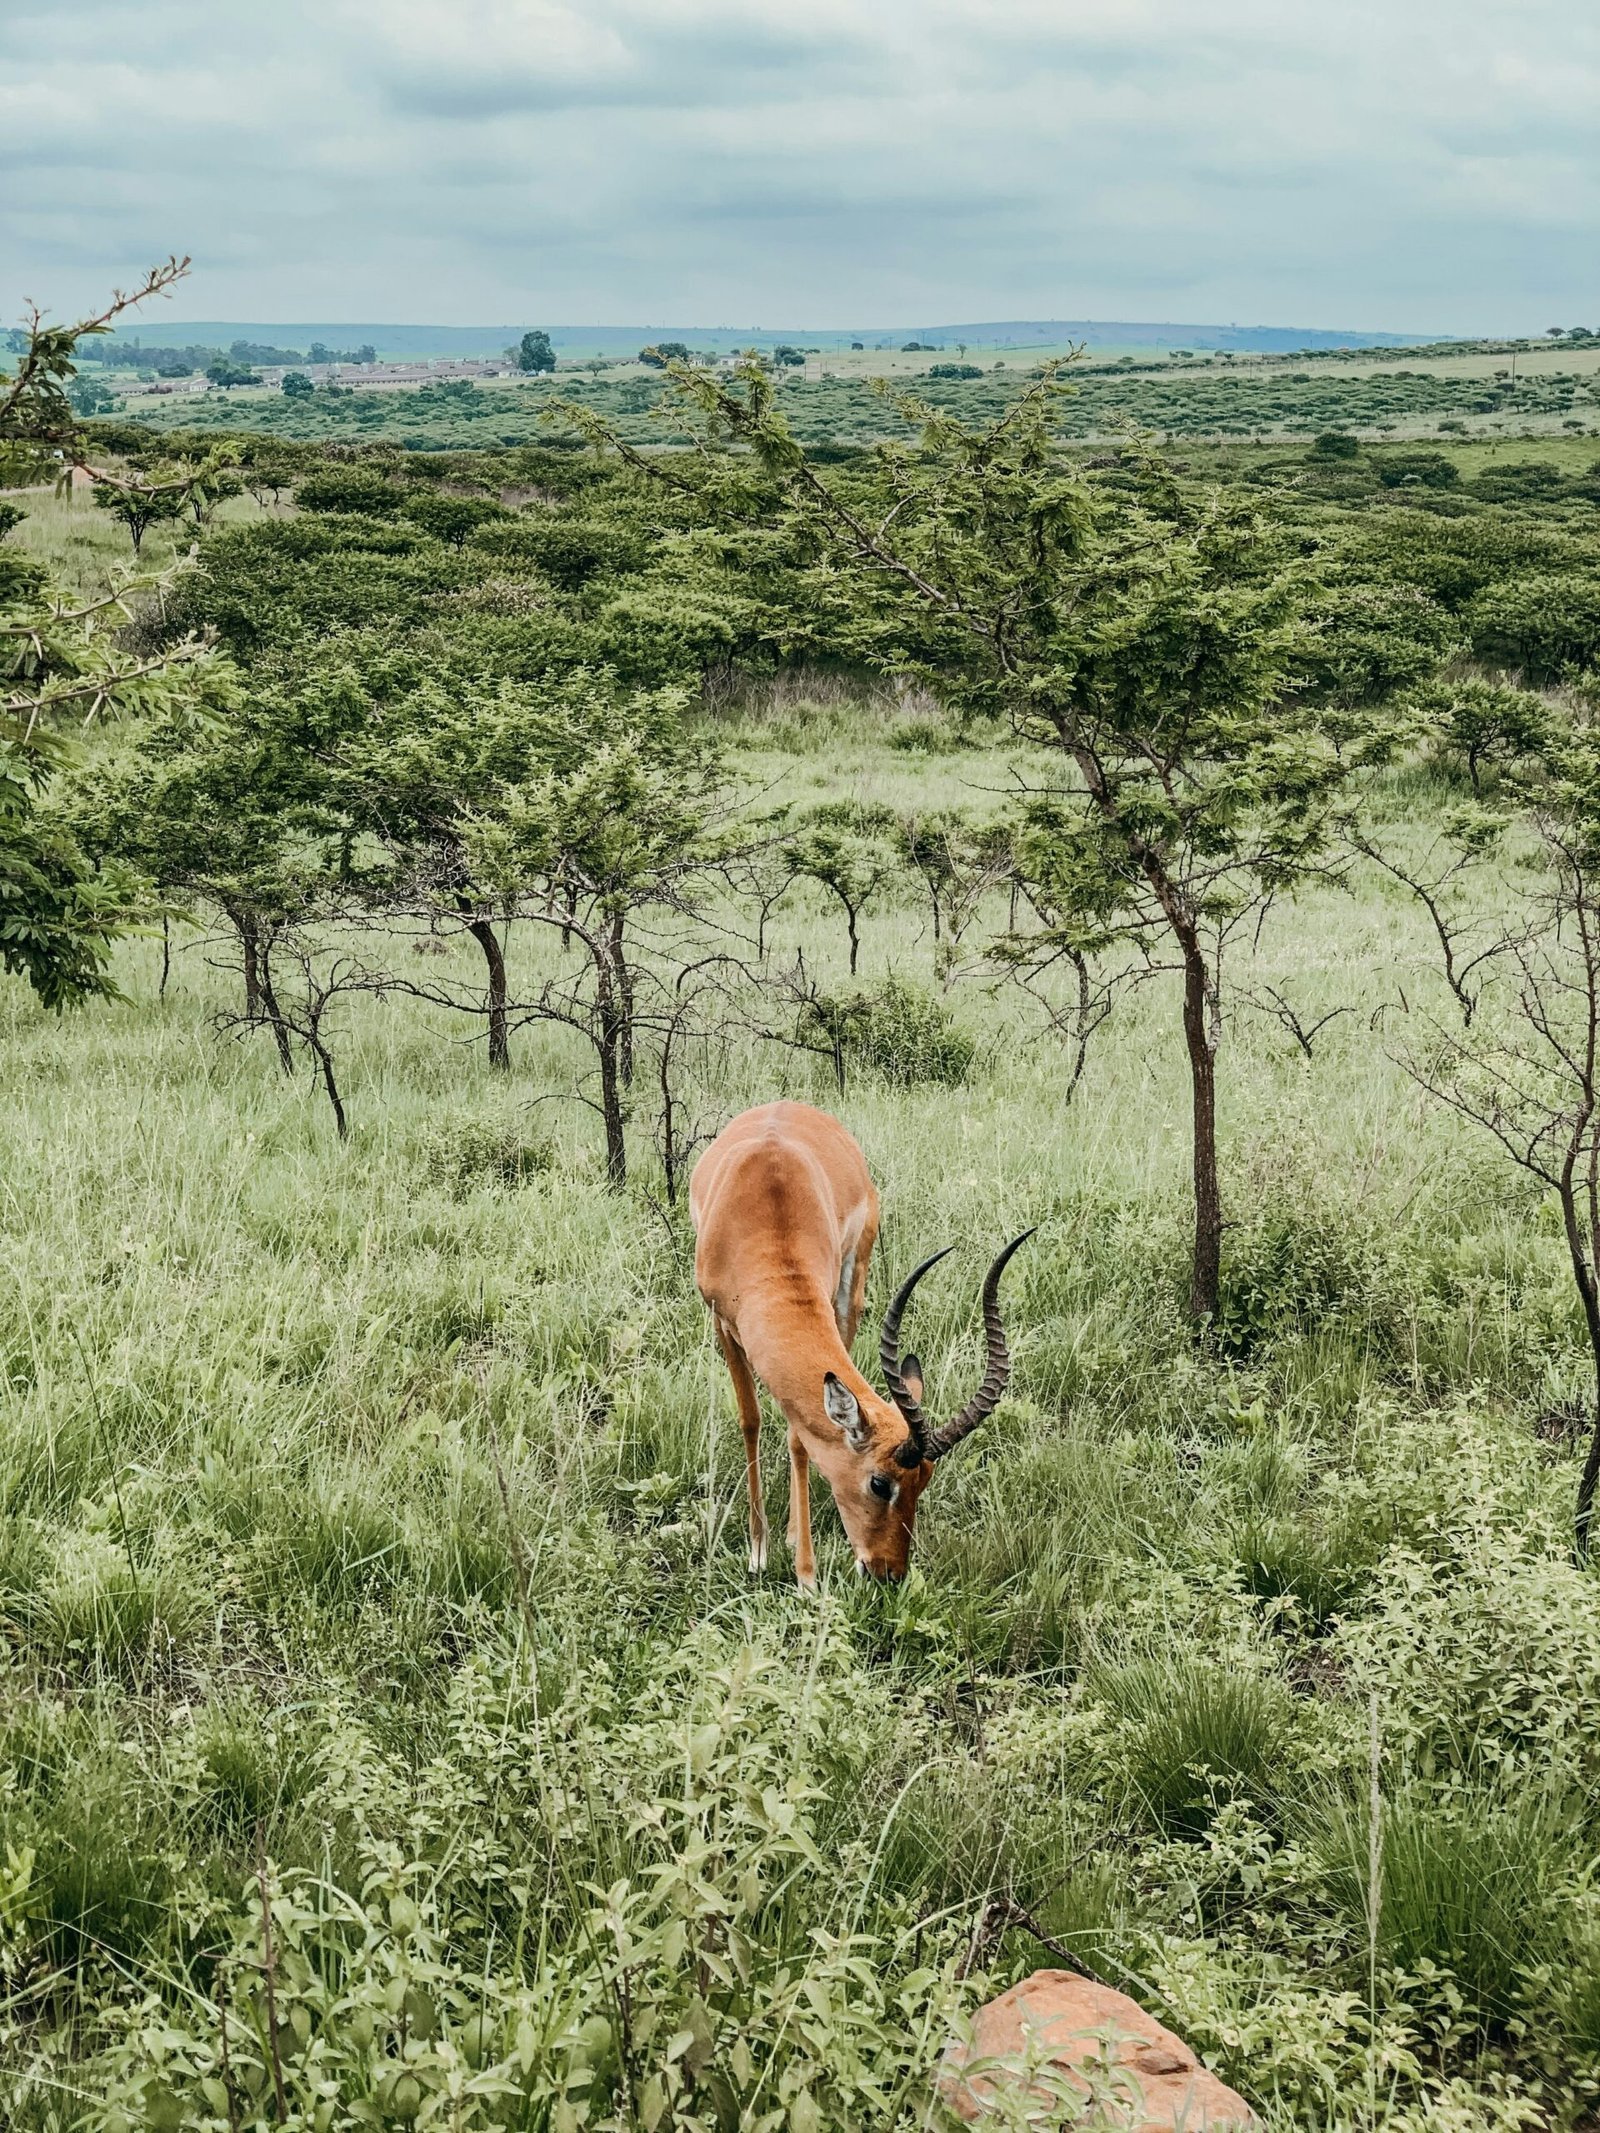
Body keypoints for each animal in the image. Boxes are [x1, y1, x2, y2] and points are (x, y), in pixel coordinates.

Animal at [695, 1100, 1032, 1586]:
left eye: (925, 1479)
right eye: (879, 1482)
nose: (888, 1572)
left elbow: (799, 1437)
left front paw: (805, 1571)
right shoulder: (722, 1320)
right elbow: (750, 1420)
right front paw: (759, 1552)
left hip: (852, 1287)